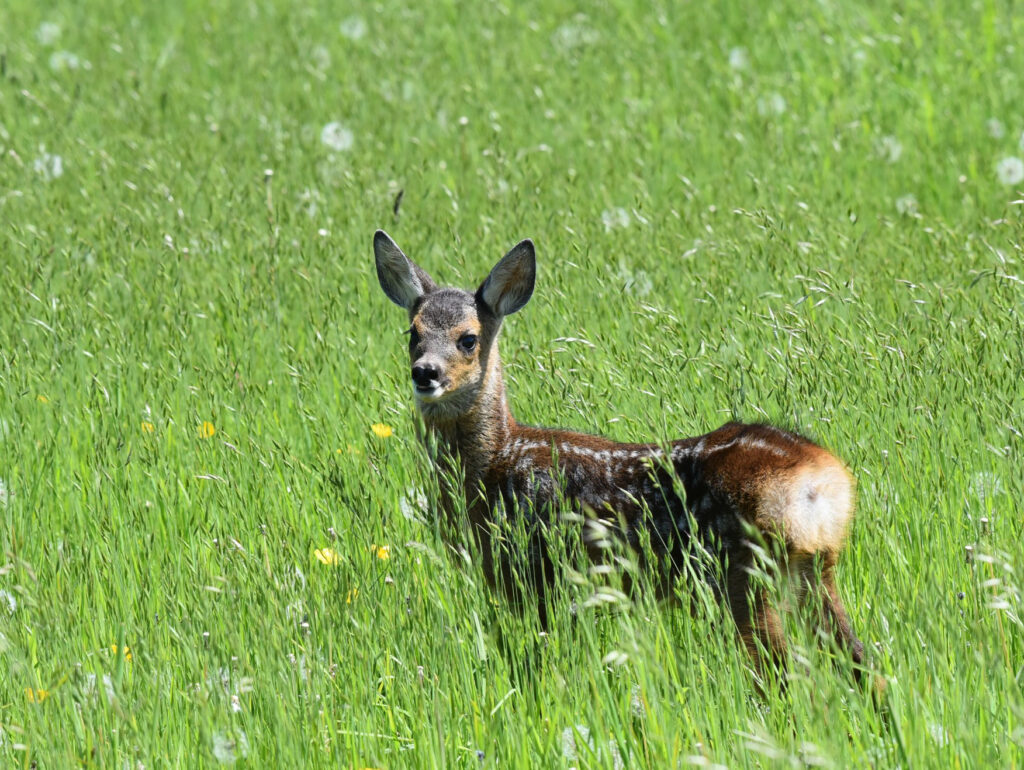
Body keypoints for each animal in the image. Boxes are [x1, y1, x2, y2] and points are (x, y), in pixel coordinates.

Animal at [373, 229, 867, 683]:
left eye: (468, 339)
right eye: (413, 333)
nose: (425, 372)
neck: (494, 464)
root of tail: (823, 481)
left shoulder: (535, 575)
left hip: (745, 571)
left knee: (786, 673)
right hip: (813, 569)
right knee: (862, 662)